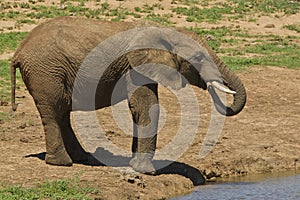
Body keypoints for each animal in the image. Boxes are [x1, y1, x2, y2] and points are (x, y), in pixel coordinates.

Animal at [11, 16, 246, 174]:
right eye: (198, 57)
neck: (163, 31)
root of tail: (19, 50)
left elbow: (142, 108)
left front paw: (135, 165)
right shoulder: (134, 67)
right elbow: (147, 107)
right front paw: (147, 171)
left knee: (61, 113)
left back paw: (82, 158)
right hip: (46, 72)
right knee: (53, 111)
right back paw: (62, 163)